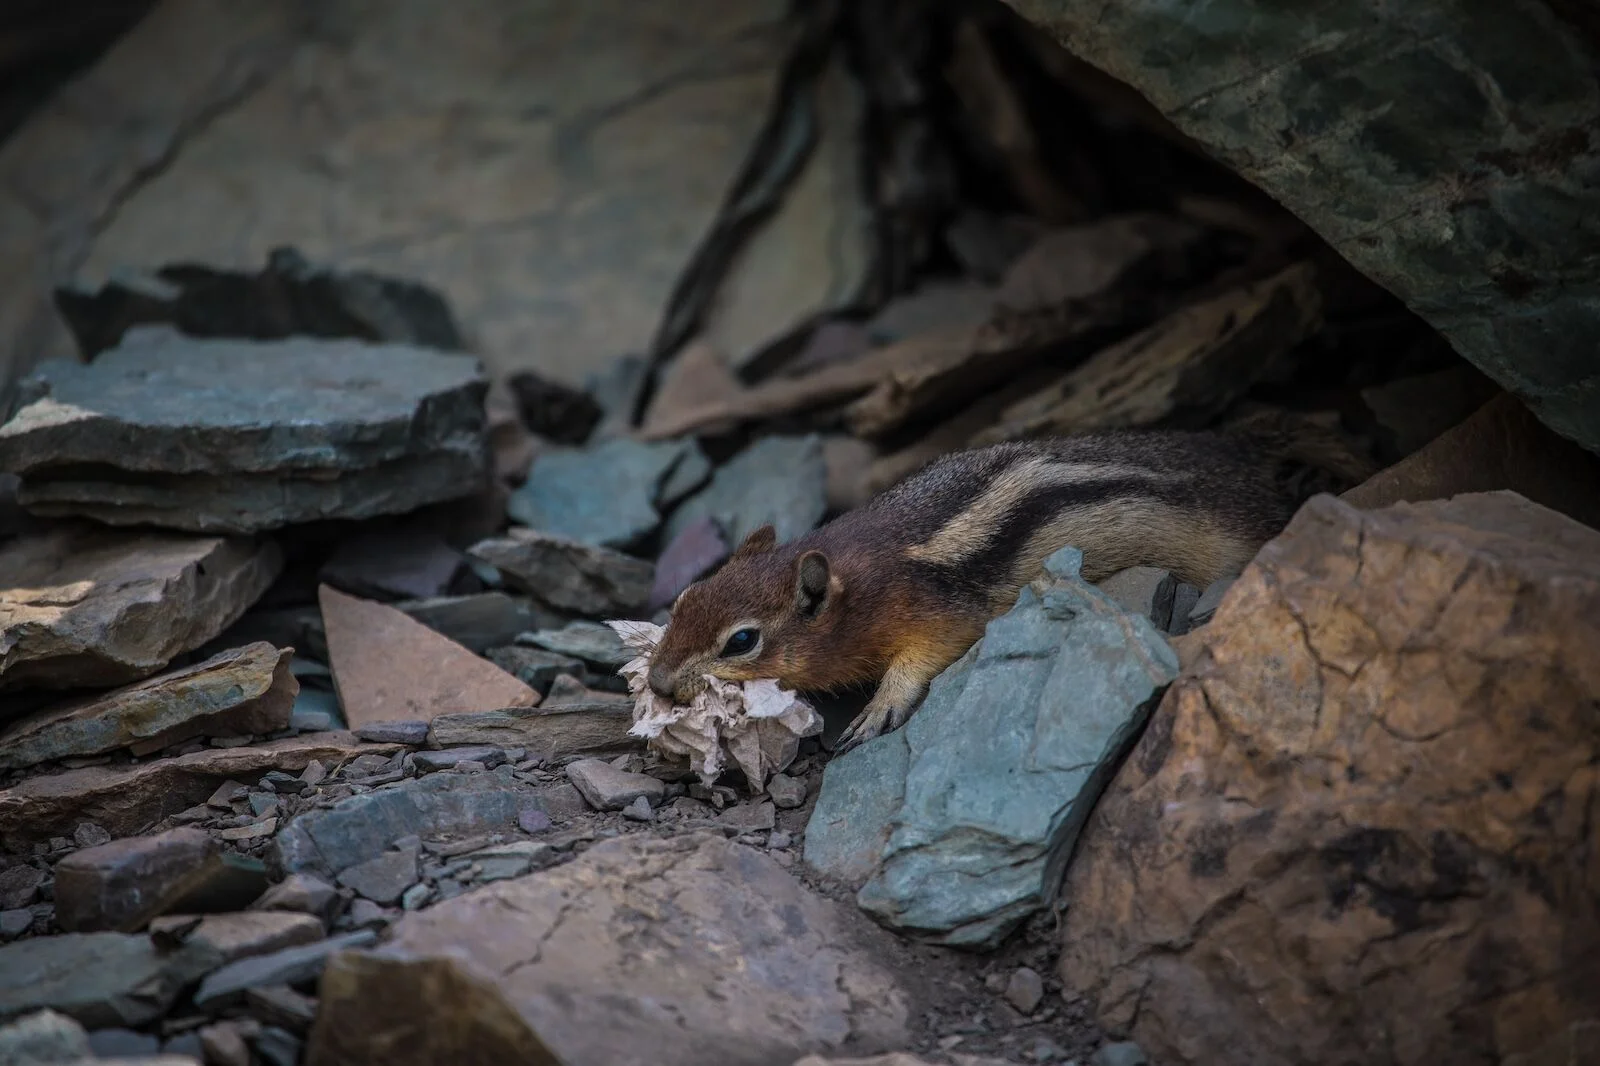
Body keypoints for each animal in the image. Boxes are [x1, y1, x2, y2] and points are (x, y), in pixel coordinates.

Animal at [647, 424, 1372, 755]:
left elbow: (928, 656)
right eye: (683, 600)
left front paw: (880, 706)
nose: (656, 682)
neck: (860, 573)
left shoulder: (933, 610)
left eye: (742, 641)